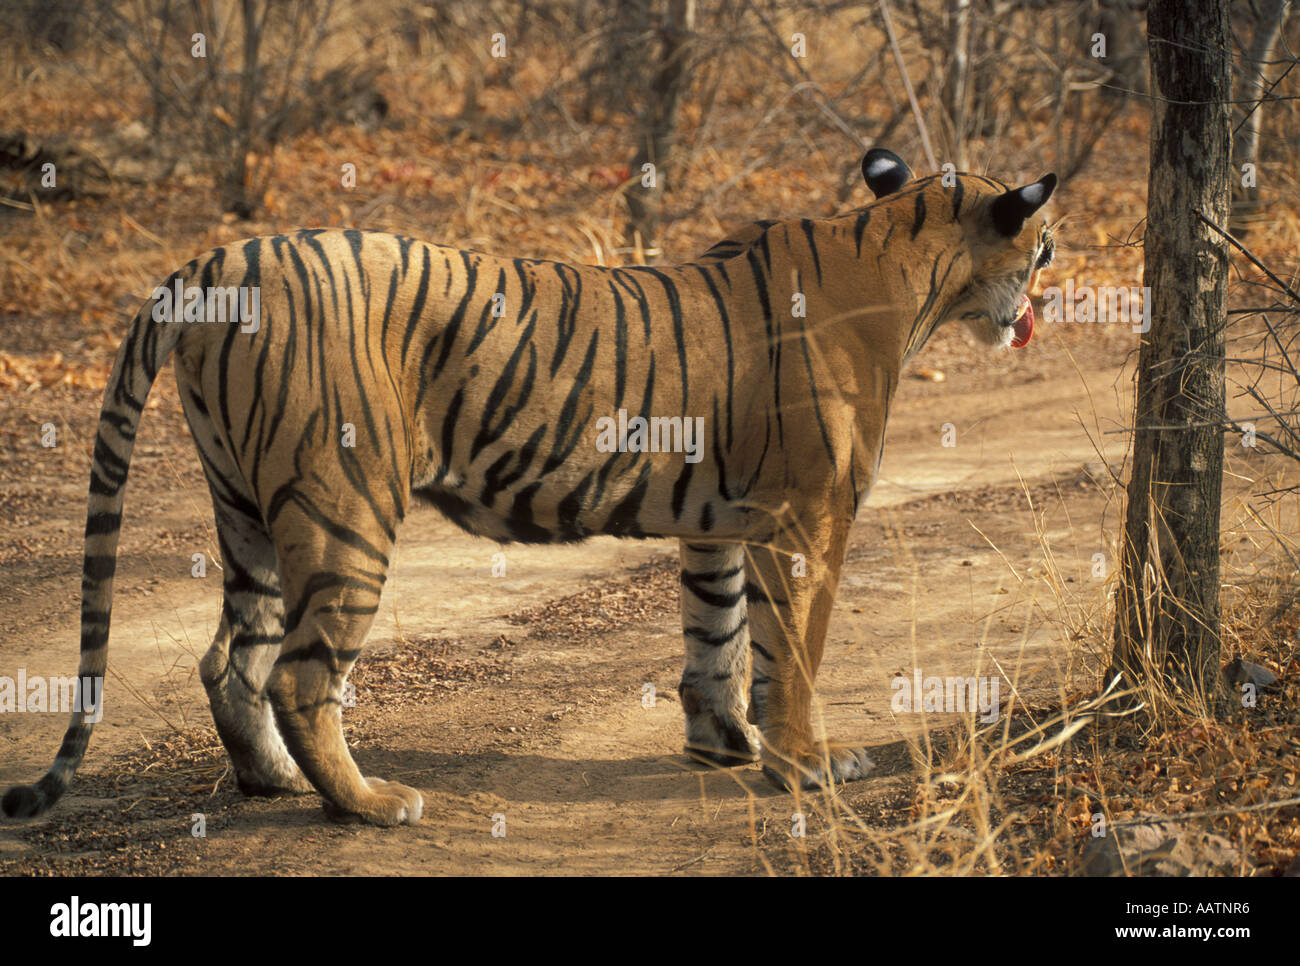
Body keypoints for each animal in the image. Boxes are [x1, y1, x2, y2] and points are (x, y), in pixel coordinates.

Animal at [2, 149, 1055, 821]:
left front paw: (727, 747)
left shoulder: (722, 522)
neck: (906, 258)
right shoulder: (806, 520)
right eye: (1043, 248)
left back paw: (279, 785)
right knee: (301, 672)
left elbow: (715, 637)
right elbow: (789, 650)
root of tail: (216, 256)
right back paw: (371, 805)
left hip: (248, 508)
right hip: (343, 503)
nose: (1047, 300)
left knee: (232, 660)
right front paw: (807, 766)